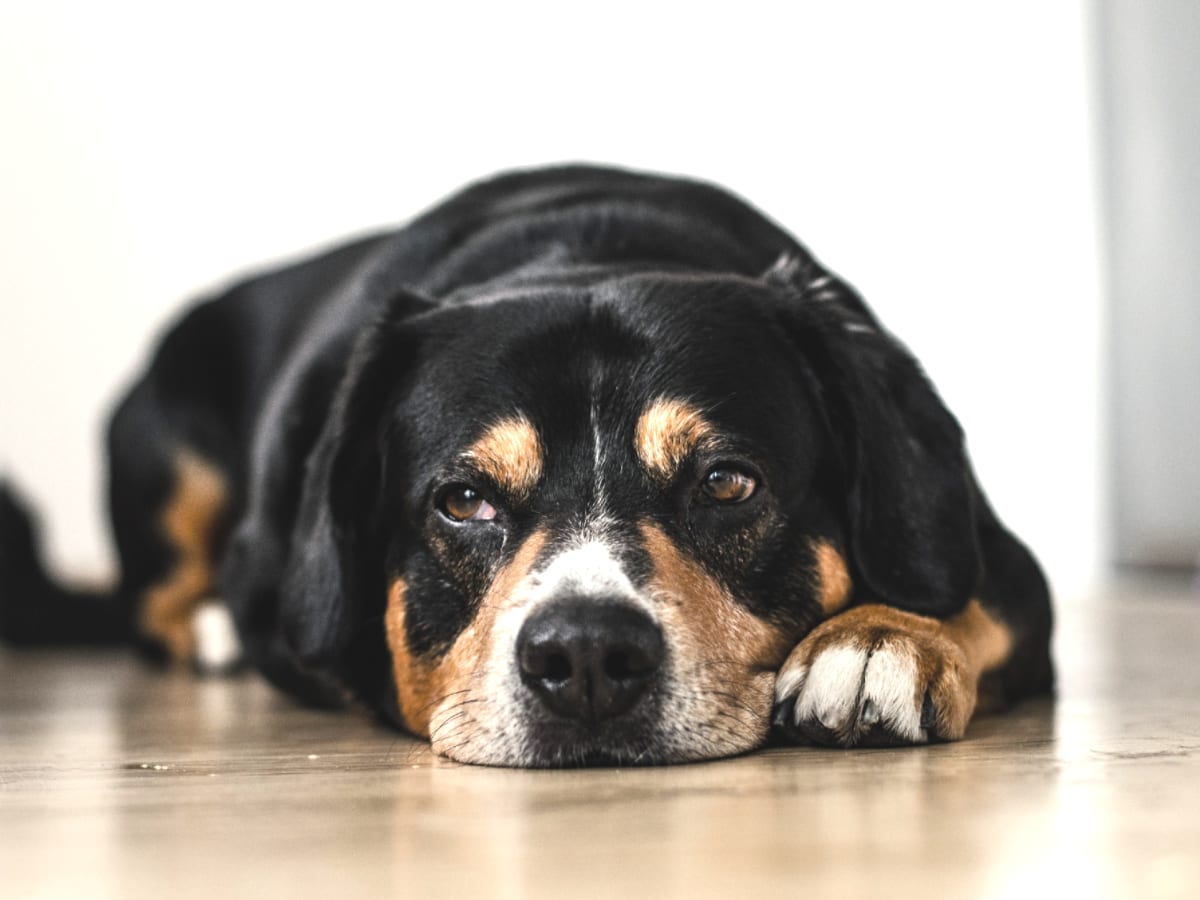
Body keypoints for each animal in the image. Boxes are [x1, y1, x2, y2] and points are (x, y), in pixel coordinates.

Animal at [0, 164, 1051, 768]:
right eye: (463, 500)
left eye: (725, 482)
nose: (585, 655)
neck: (589, 251)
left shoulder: (997, 555)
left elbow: (973, 596)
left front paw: (874, 642)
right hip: (167, 446)